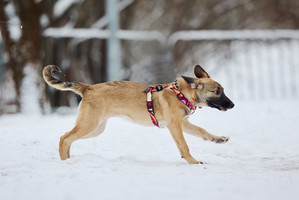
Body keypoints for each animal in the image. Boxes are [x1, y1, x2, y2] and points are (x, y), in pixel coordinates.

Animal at [42, 65, 234, 164]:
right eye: (217, 91)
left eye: (223, 90)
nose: (233, 105)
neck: (181, 94)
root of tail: (88, 87)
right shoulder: (175, 126)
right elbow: (184, 146)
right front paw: (193, 162)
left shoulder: (184, 124)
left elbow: (202, 131)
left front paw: (218, 139)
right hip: (89, 125)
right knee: (64, 138)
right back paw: (64, 162)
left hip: (95, 129)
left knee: (67, 138)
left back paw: (68, 159)